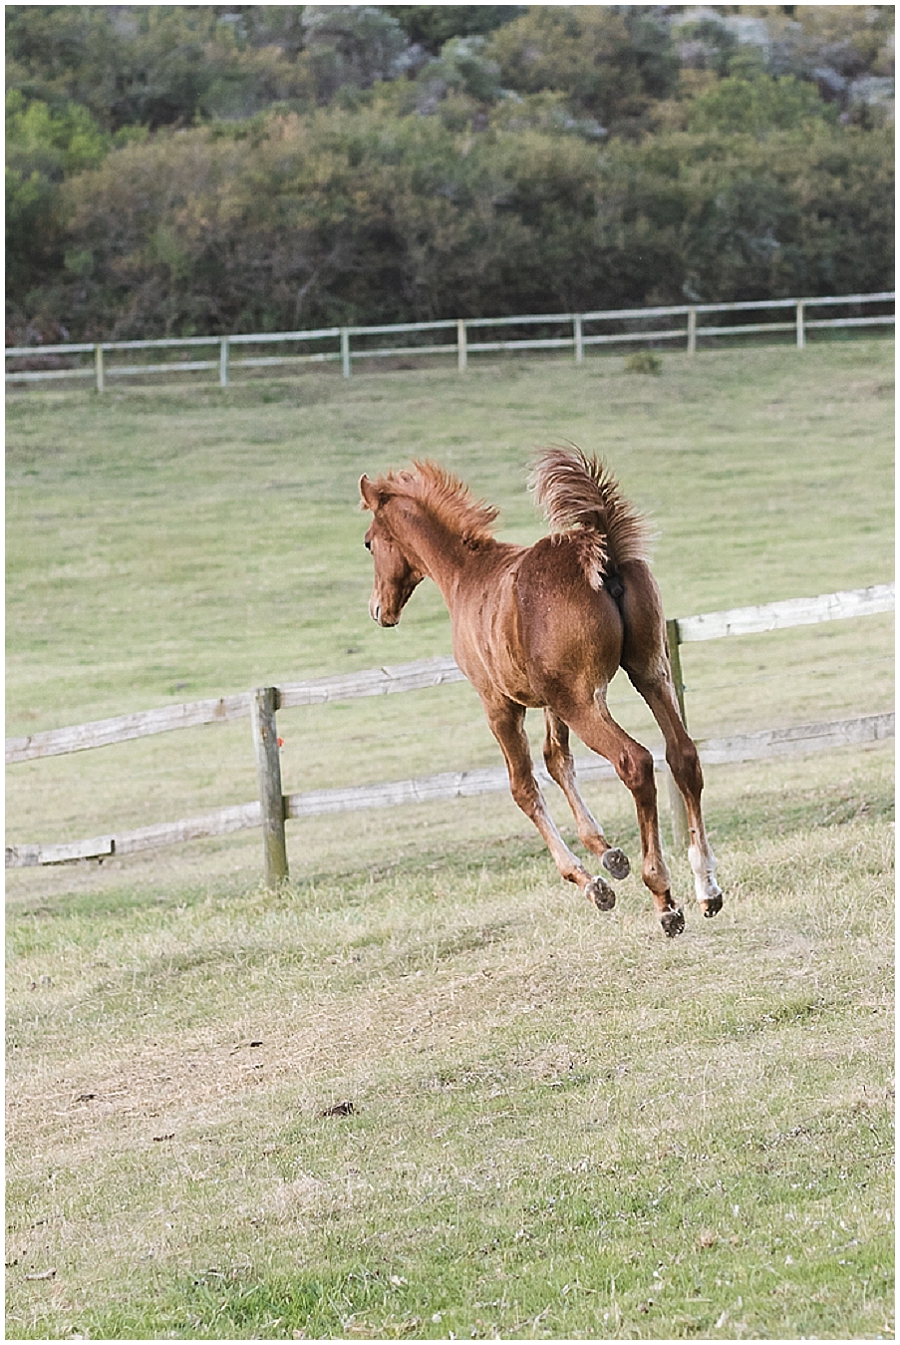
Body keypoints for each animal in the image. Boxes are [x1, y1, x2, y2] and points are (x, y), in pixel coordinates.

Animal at [359, 446, 723, 938]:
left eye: (368, 542)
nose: (379, 609)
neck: (465, 575)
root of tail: (601, 554)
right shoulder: (551, 701)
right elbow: (557, 761)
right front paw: (609, 854)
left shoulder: (499, 706)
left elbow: (523, 787)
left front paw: (593, 884)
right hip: (647, 672)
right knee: (682, 755)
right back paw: (707, 887)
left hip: (584, 700)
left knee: (635, 762)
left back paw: (664, 897)